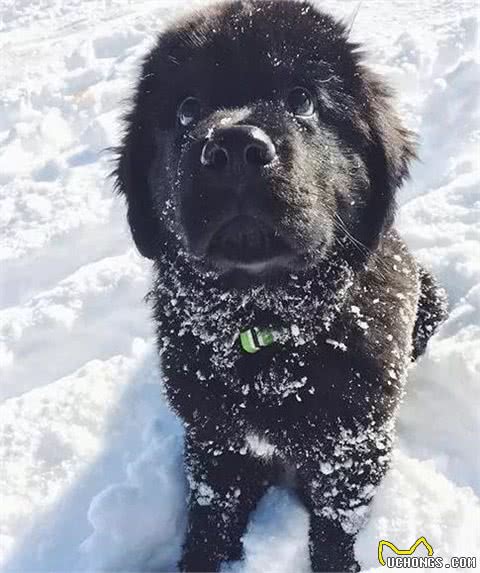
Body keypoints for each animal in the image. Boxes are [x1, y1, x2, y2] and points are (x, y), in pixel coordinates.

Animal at [114, 2, 448, 568]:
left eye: (302, 100)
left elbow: (334, 527)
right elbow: (210, 520)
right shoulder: (214, 442)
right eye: (186, 109)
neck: (267, 331)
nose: (233, 145)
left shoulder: (353, 447)